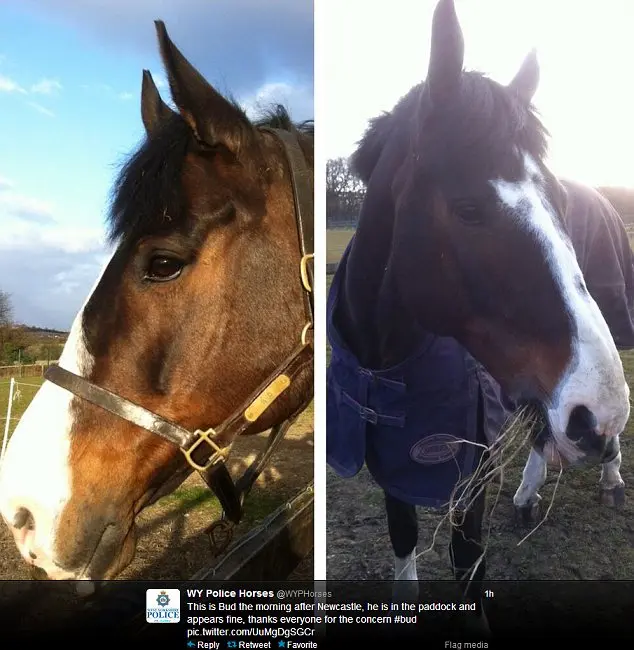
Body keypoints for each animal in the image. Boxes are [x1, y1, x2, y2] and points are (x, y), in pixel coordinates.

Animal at [326, 0, 628, 632]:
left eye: (560, 203)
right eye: (468, 209)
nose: (602, 412)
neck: (383, 357)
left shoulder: (472, 466)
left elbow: (469, 563)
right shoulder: (390, 459)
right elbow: (403, 536)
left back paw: (609, 476)